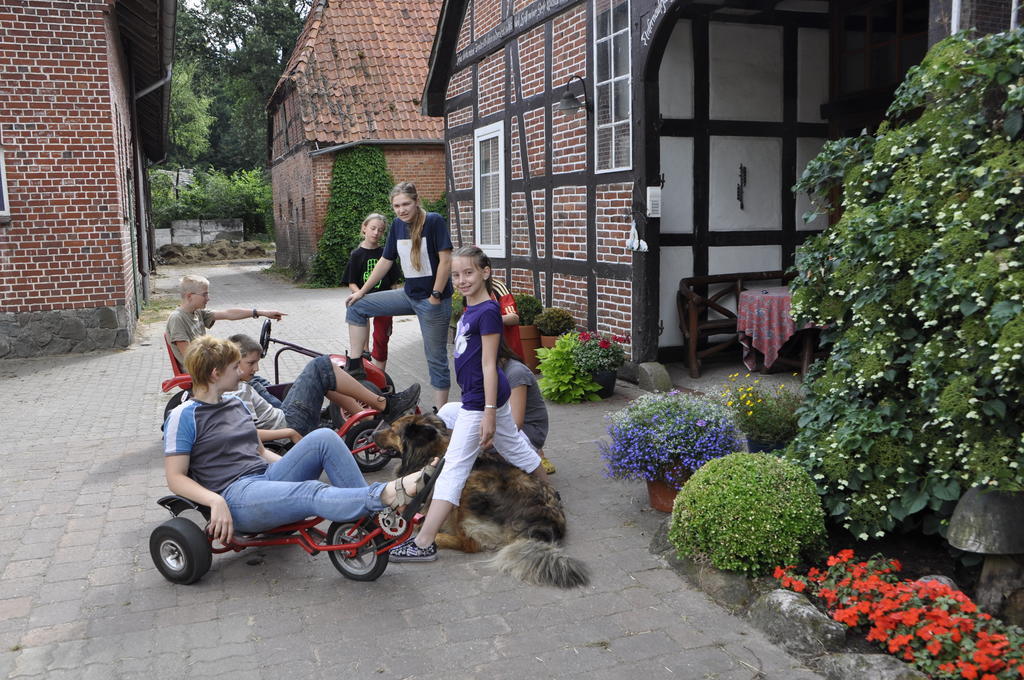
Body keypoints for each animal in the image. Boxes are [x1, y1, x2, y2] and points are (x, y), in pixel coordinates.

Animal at [374, 411, 593, 585]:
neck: (429, 453)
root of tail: (546, 523)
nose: (372, 434)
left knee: (470, 544)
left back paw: (434, 537)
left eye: (393, 429)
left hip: (467, 490)